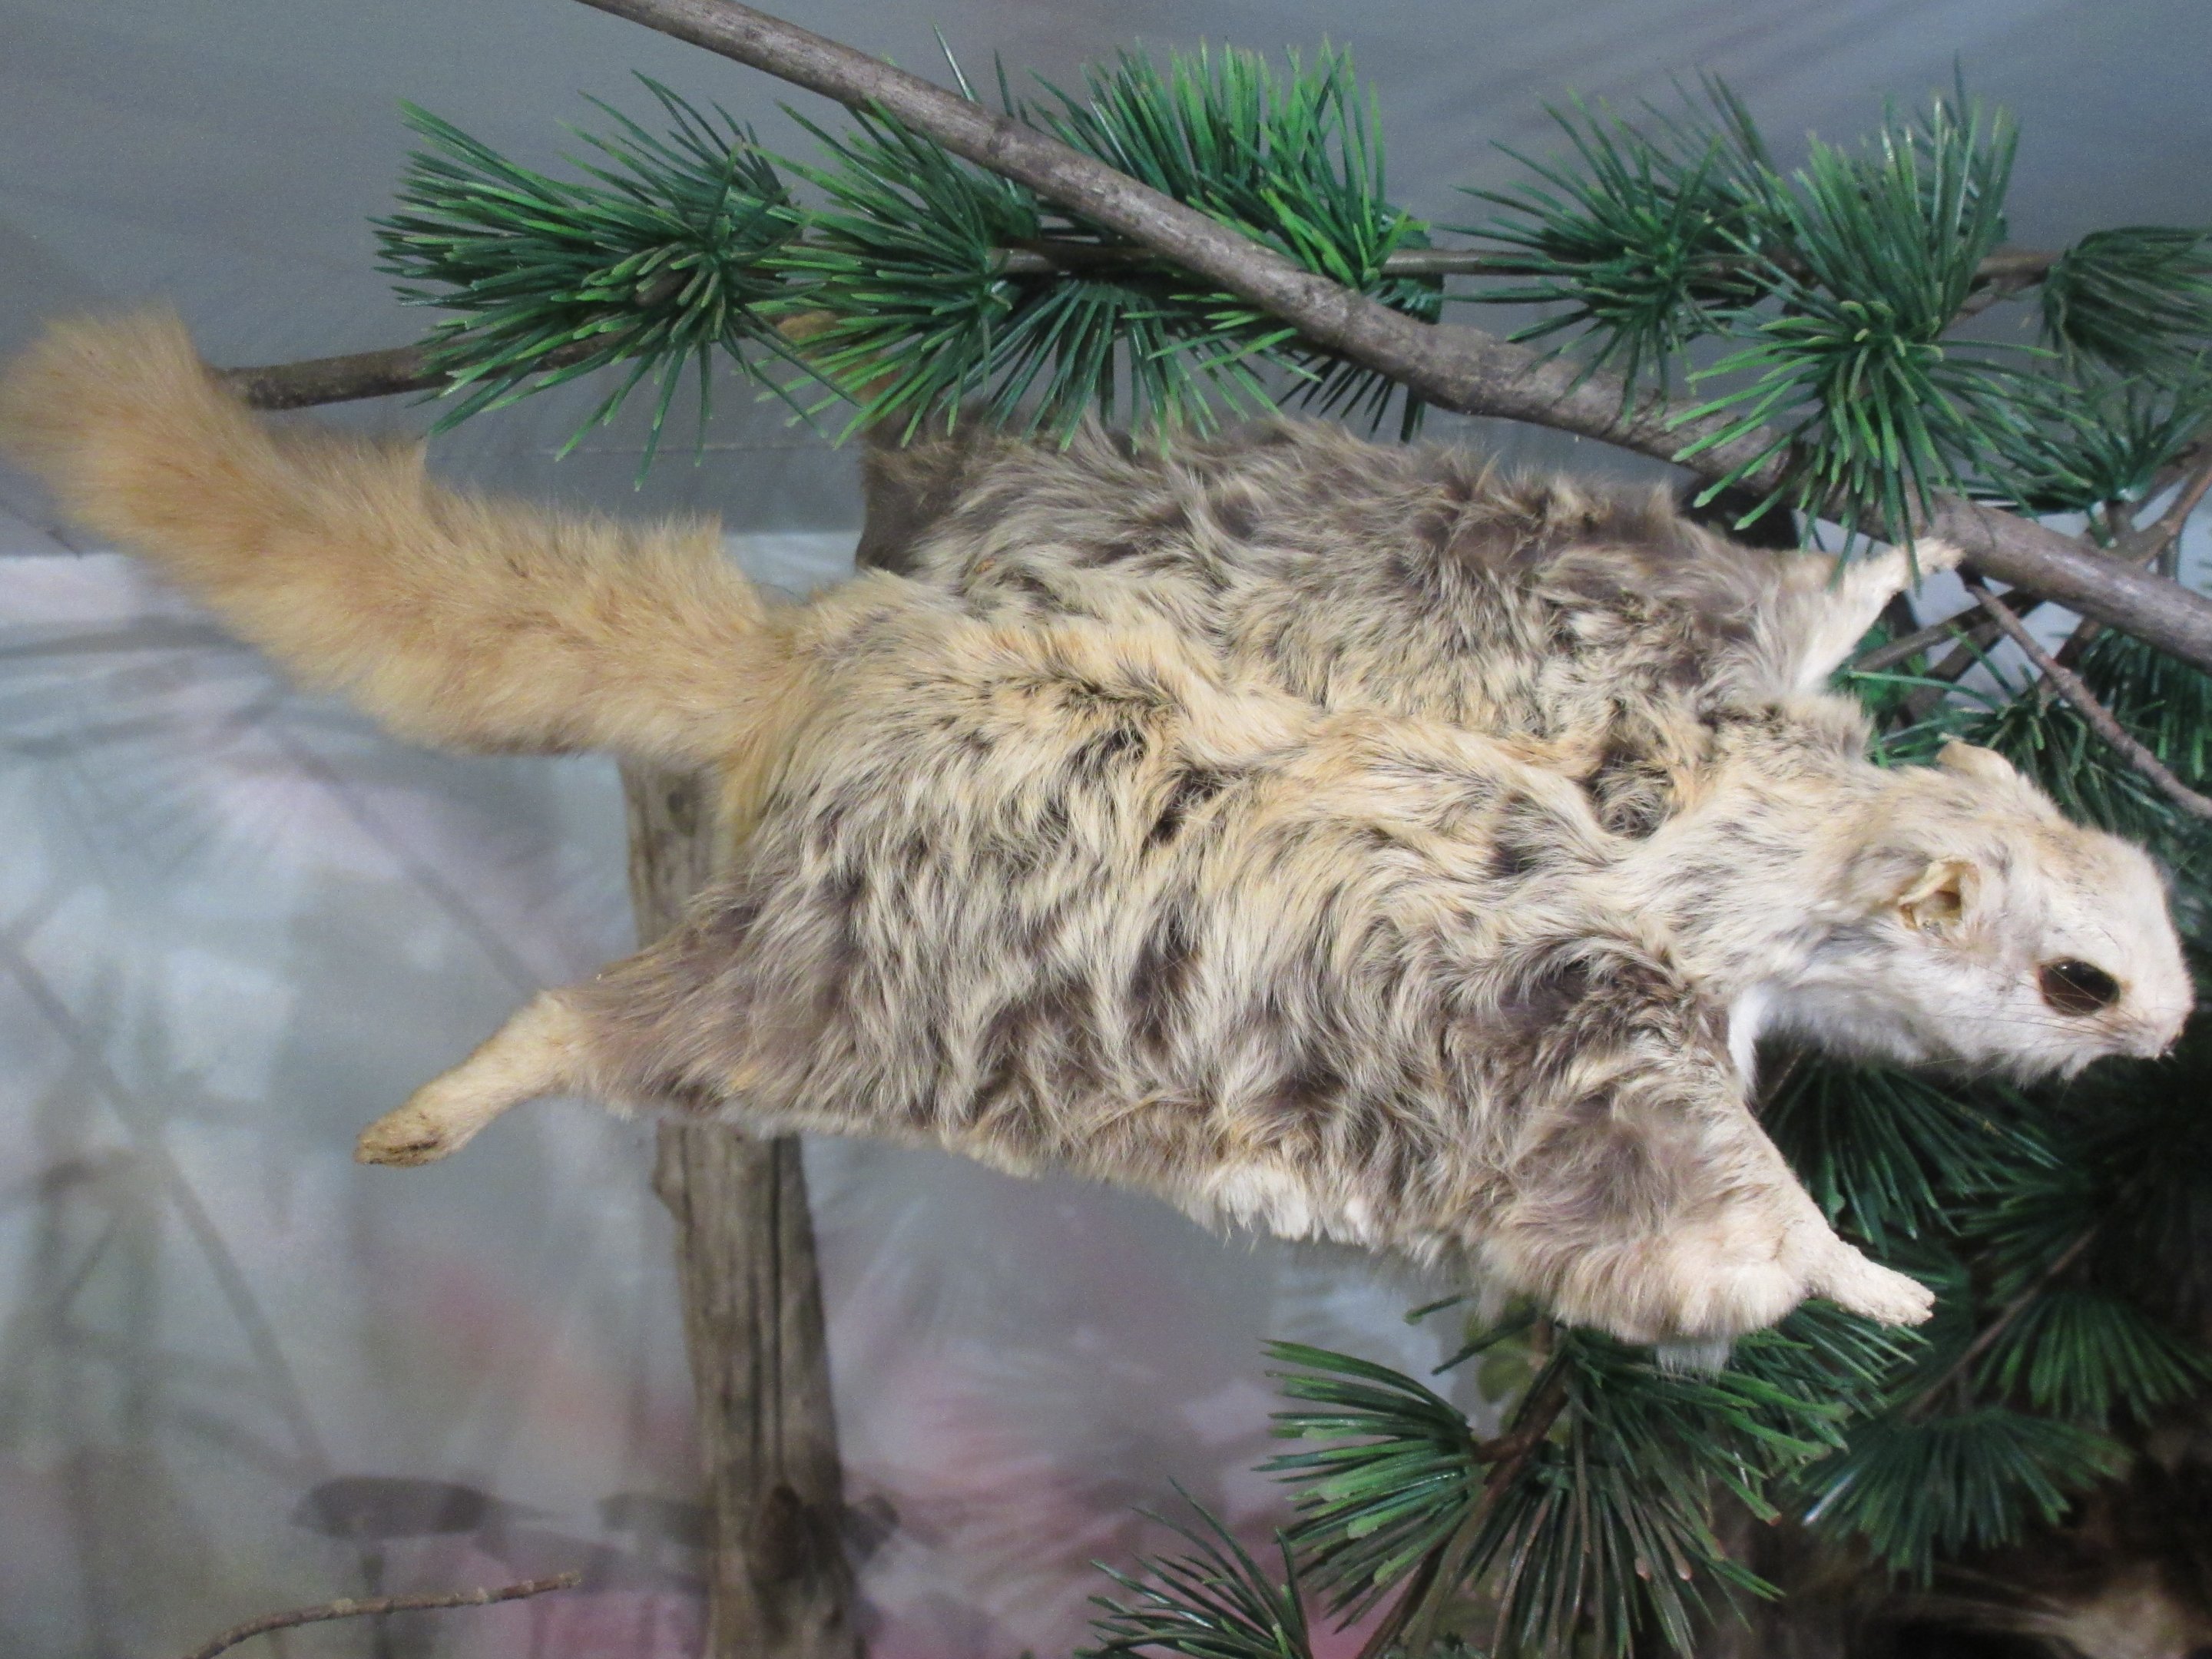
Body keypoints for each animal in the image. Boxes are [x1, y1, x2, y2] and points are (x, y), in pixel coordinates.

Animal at [0, 312, 2189, 1345]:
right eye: (2076, 981)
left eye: (2166, 904)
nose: (2178, 1027)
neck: (1761, 842)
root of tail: (830, 657)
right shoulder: (1605, 1015)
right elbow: (1726, 1216)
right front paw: (1857, 1278)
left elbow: (1798, 603)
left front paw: (1916, 546)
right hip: (818, 975)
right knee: (602, 1025)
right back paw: (451, 1096)